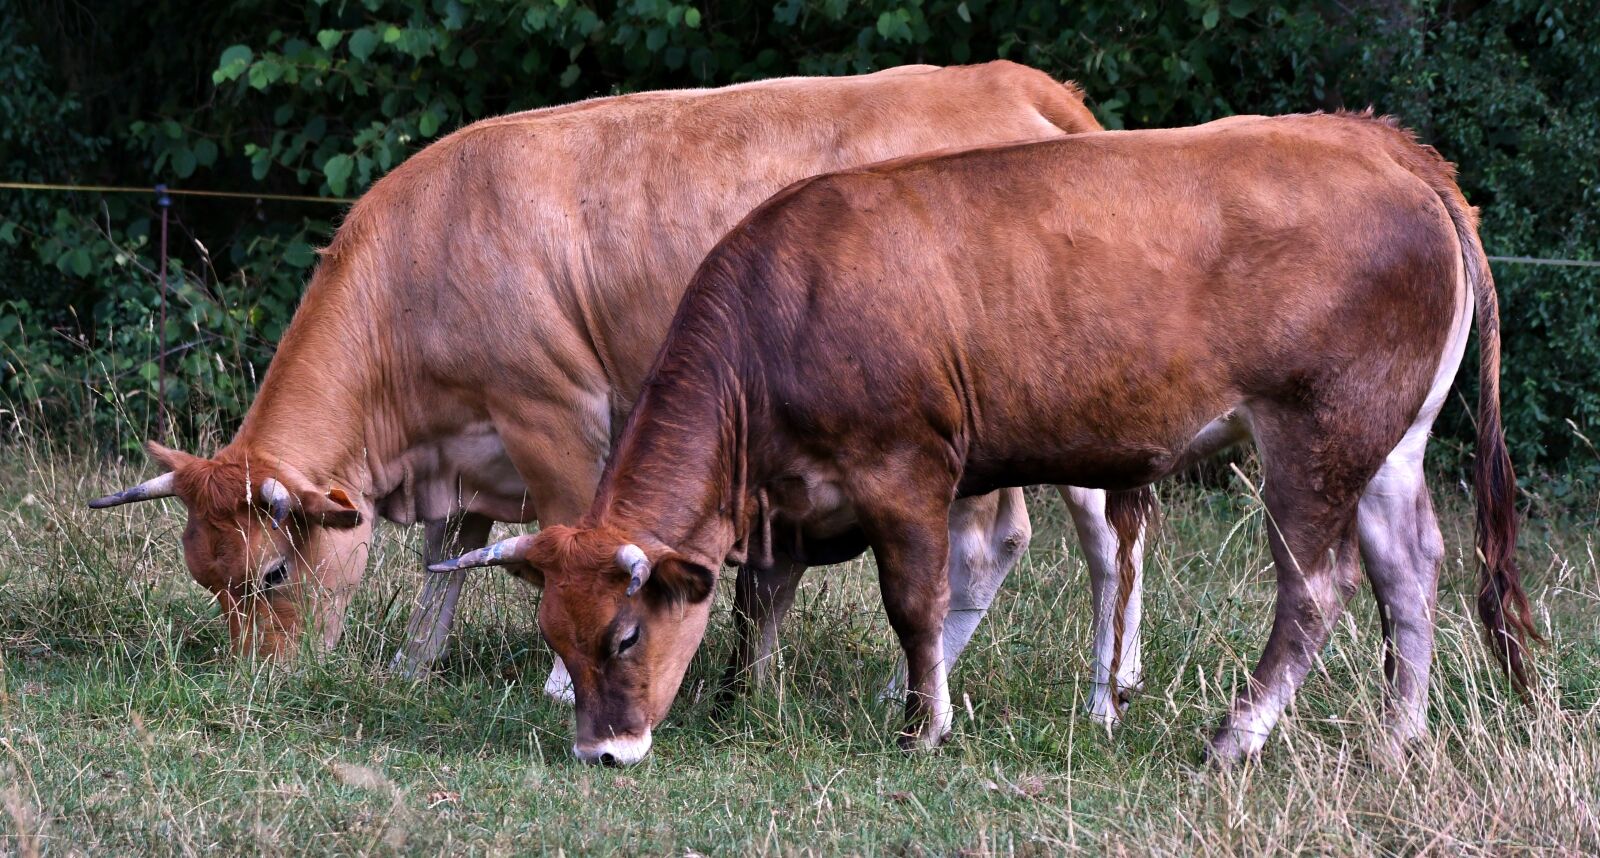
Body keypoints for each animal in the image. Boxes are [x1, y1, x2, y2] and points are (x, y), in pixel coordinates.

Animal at [86, 62, 1147, 721]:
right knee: (1024, 540)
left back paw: (1100, 692)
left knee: (1083, 540)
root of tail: (1004, 78)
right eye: (207, 581)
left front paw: (565, 681)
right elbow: (445, 559)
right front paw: (413, 663)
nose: (258, 682)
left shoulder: (553, 413)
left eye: (271, 575)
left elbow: (561, 535)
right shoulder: (471, 442)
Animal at [433, 111, 1537, 766]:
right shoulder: (788, 497)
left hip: (1315, 432)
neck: (784, 307)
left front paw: (925, 722)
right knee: (1408, 569)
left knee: (1316, 587)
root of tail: (1377, 143)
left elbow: (914, 605)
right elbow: (758, 600)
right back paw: (1398, 737)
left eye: (622, 636)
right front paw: (745, 701)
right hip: (1391, 439)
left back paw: (1236, 736)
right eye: (554, 637)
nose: (601, 752)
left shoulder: (907, 474)